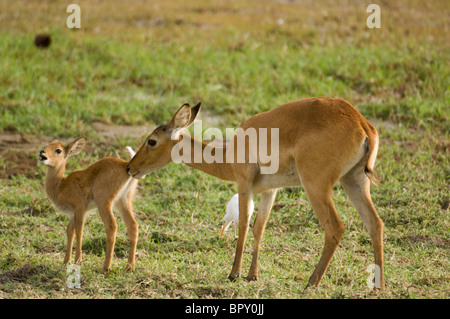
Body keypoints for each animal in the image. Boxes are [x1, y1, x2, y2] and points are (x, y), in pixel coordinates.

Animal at [126, 98, 384, 290]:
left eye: (151, 141)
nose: (130, 168)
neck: (228, 155)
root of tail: (361, 123)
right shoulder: (269, 191)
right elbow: (260, 227)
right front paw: (252, 275)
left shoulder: (244, 184)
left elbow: (243, 224)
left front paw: (234, 273)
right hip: (354, 182)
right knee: (375, 223)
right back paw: (379, 286)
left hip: (317, 187)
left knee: (335, 227)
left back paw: (311, 283)